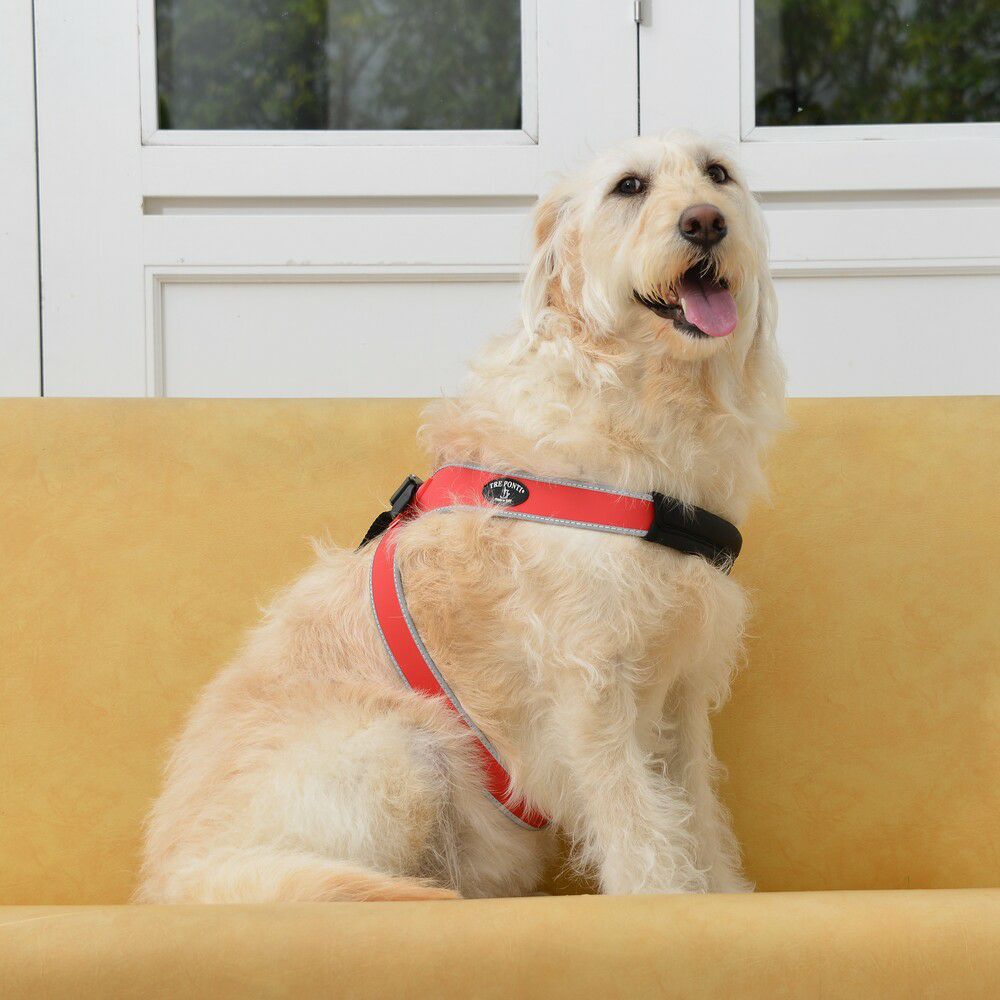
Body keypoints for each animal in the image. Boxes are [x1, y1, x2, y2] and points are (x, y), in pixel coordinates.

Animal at [136, 131, 785, 903]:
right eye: (629, 186)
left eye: (718, 174)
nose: (704, 222)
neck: (647, 402)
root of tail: (180, 882)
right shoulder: (590, 687)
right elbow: (639, 824)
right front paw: (665, 901)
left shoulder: (679, 693)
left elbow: (697, 815)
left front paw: (719, 896)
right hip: (407, 751)